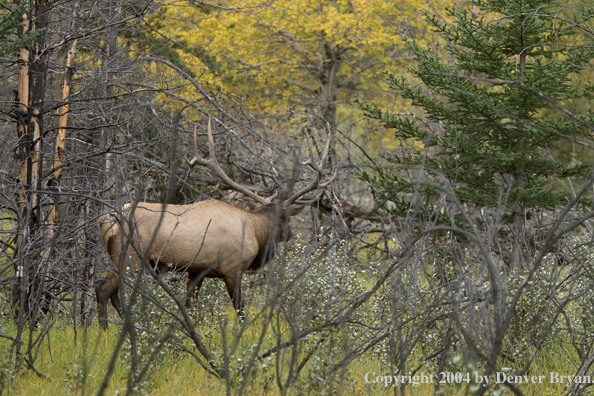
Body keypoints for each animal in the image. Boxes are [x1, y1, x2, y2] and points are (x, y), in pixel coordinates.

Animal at [96, 119, 332, 330]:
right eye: (285, 218)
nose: (290, 233)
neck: (255, 232)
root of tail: (103, 220)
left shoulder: (197, 271)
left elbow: (190, 305)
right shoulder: (232, 268)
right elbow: (240, 309)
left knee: (111, 293)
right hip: (130, 258)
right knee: (104, 290)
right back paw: (104, 330)